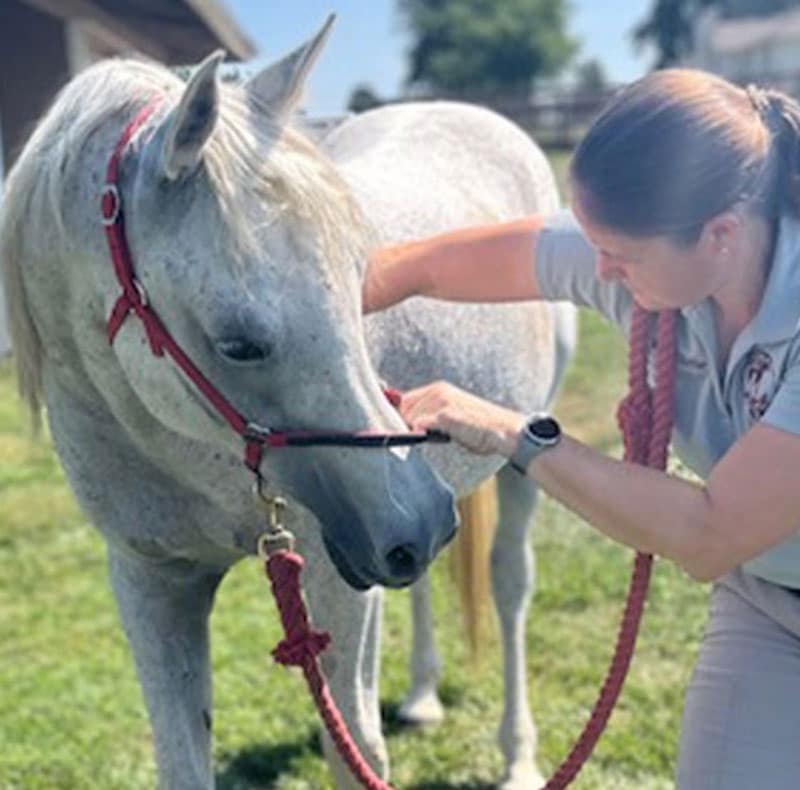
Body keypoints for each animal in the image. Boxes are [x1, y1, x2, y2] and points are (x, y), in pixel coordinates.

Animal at [0, 18, 575, 790]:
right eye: (238, 344)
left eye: (361, 281)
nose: (422, 521)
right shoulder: (152, 584)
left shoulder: (335, 570)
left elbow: (355, 749)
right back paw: (423, 694)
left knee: (509, 585)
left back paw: (518, 756)